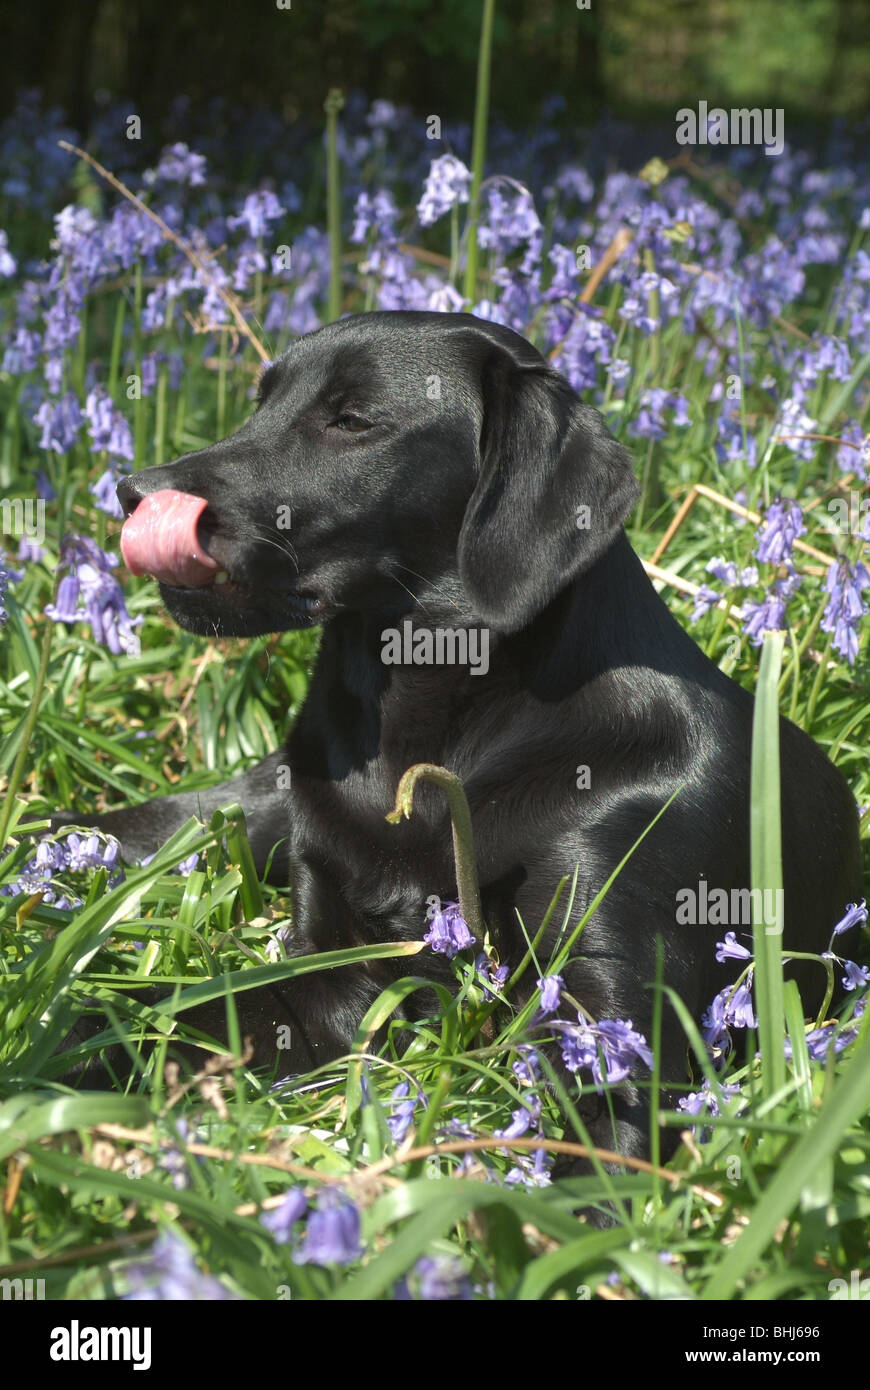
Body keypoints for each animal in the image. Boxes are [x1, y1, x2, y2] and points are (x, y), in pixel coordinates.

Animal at [55, 309, 861, 1156]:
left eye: (351, 420)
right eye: (260, 402)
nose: (130, 493)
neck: (428, 744)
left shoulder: (612, 1003)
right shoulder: (335, 964)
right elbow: (163, 1020)